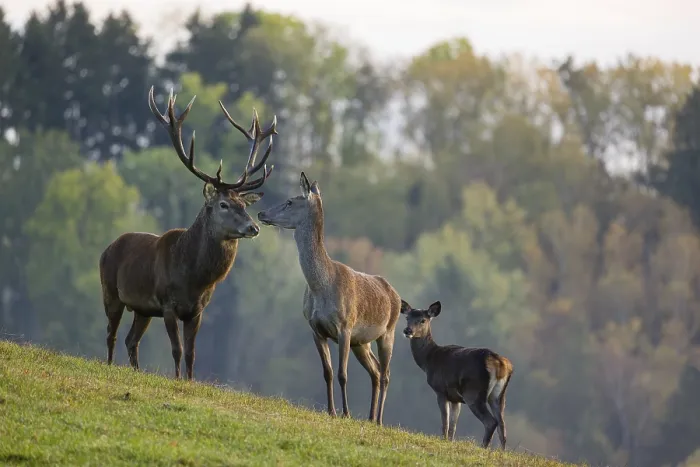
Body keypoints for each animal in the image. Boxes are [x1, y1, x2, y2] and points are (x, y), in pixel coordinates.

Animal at [99, 86, 277, 380]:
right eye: (223, 204)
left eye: (244, 205)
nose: (254, 227)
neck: (194, 279)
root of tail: (108, 247)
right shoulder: (168, 304)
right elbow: (177, 350)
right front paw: (178, 380)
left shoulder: (197, 311)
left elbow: (192, 353)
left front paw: (191, 381)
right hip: (110, 291)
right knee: (111, 335)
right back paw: (109, 365)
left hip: (142, 309)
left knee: (130, 340)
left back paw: (135, 370)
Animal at [257, 172, 401, 426]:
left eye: (290, 202)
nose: (262, 213)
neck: (321, 288)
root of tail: (398, 296)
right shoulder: (316, 329)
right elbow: (328, 372)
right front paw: (331, 411)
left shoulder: (345, 326)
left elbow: (343, 374)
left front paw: (346, 413)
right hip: (361, 342)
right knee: (374, 371)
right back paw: (370, 417)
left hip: (387, 332)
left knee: (385, 374)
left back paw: (380, 420)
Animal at [400, 299, 513, 449]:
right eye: (407, 318)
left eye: (423, 320)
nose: (408, 331)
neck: (429, 361)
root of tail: (500, 364)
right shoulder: (455, 398)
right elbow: (453, 425)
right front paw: (450, 441)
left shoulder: (441, 390)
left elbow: (445, 422)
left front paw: (443, 441)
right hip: (498, 396)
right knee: (502, 425)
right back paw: (500, 451)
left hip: (474, 393)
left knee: (491, 422)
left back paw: (483, 448)